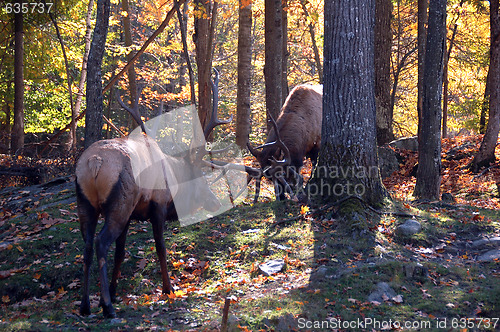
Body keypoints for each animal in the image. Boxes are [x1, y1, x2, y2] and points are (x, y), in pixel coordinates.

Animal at [78, 71, 260, 318]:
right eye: (200, 179)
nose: (215, 202)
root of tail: (94, 163)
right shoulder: (158, 205)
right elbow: (161, 247)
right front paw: (168, 288)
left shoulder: (131, 215)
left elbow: (121, 252)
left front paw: (115, 292)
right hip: (118, 205)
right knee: (100, 243)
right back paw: (107, 308)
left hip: (86, 203)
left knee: (87, 246)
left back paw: (86, 305)